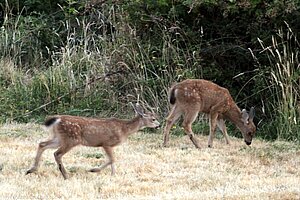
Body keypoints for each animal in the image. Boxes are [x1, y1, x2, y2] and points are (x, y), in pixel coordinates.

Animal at [26, 104, 159, 179]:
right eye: (153, 119)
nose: (159, 125)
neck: (124, 129)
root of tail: (57, 119)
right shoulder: (106, 143)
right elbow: (112, 159)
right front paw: (93, 170)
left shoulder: (108, 145)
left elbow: (112, 160)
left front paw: (113, 175)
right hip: (71, 139)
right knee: (57, 153)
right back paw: (65, 175)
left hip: (59, 138)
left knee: (42, 144)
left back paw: (31, 170)